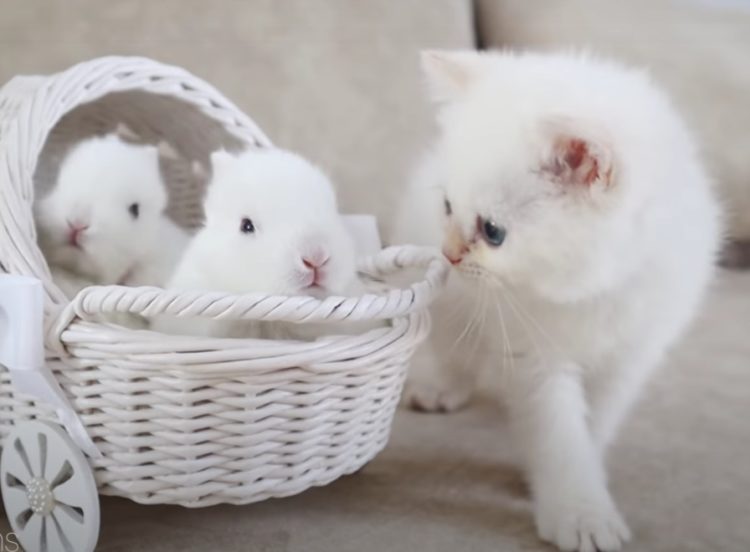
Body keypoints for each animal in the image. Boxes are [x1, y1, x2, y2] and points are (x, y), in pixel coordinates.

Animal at [392, 50, 722, 552]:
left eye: (493, 231)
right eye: (447, 207)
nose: (448, 255)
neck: (589, 291)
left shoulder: (634, 351)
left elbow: (595, 421)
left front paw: (581, 472)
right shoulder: (535, 355)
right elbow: (557, 434)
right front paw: (579, 512)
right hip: (452, 305)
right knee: (456, 349)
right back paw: (442, 389)